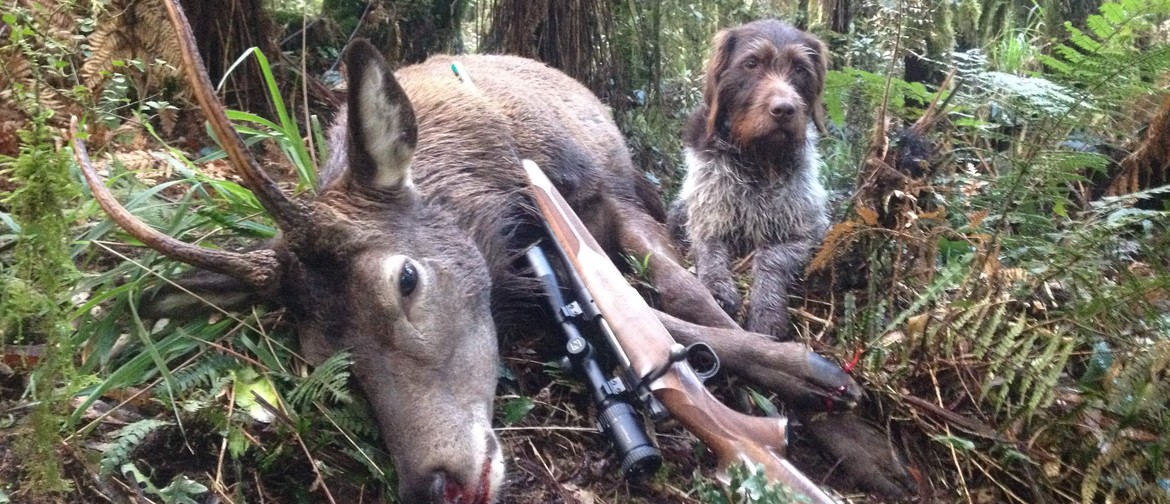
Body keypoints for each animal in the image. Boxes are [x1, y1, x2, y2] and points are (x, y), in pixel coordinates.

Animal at [673, 20, 828, 343]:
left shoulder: (810, 234)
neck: (758, 159)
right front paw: (718, 291)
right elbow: (709, 251)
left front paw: (767, 311)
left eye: (800, 69)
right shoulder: (704, 218)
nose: (784, 109)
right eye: (752, 64)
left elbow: (771, 257)